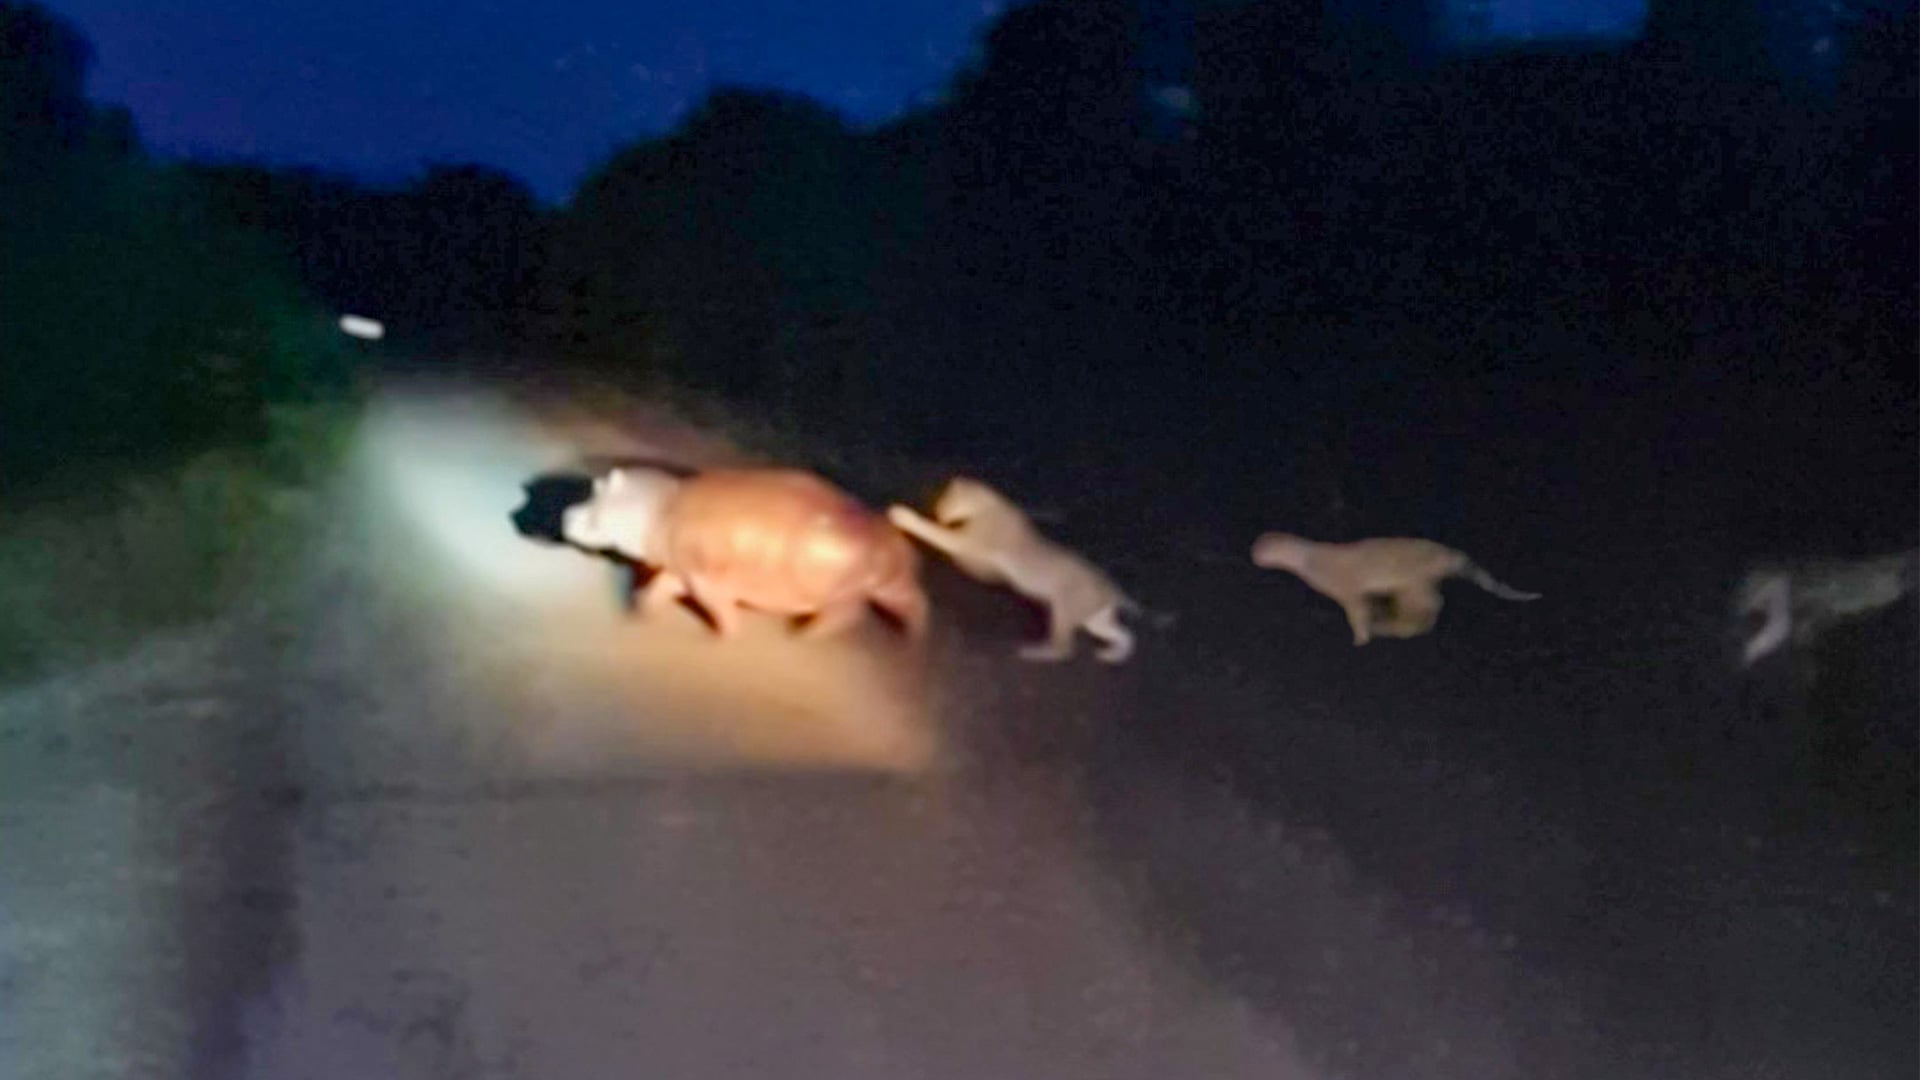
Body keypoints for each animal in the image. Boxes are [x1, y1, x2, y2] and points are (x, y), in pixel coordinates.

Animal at [886, 477, 1159, 664]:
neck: (986, 504)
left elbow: (932, 532)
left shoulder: (966, 542)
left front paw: (903, 515)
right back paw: (1114, 655)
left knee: (1064, 649)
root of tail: (1112, 587)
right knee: (1125, 635)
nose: (940, 512)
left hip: (1065, 608)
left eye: (945, 500)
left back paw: (1034, 652)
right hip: (1095, 619)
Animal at [1251, 532, 1540, 645]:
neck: (1310, 559)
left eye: (1259, 548)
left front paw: (1360, 638)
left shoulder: (1346, 588)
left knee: (1432, 603)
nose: (1251, 552)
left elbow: (1357, 612)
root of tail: (1445, 554)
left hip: (1414, 581)